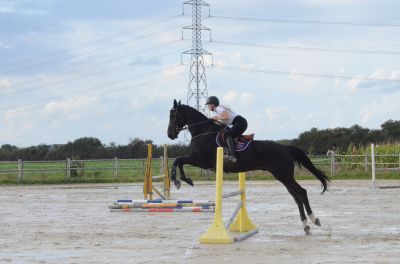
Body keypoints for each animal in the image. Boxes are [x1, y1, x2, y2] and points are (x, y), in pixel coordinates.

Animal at [167, 99, 330, 233]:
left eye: (173, 115)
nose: (170, 135)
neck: (203, 132)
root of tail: (286, 148)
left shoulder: (201, 160)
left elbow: (178, 160)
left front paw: (179, 180)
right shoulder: (199, 160)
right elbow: (179, 161)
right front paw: (183, 180)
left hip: (284, 175)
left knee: (302, 192)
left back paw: (313, 220)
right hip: (283, 177)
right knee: (296, 196)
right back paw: (306, 225)